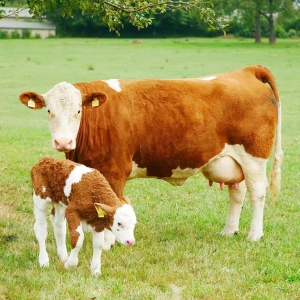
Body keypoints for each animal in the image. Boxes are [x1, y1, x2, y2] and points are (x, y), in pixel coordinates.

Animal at [19, 65, 282, 241]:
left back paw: (254, 235)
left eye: (78, 111)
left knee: (257, 193)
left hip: (254, 157)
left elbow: (112, 206)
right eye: (49, 111)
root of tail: (246, 71)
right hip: (232, 161)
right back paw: (229, 231)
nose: (63, 141)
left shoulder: (115, 172)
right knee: (237, 193)